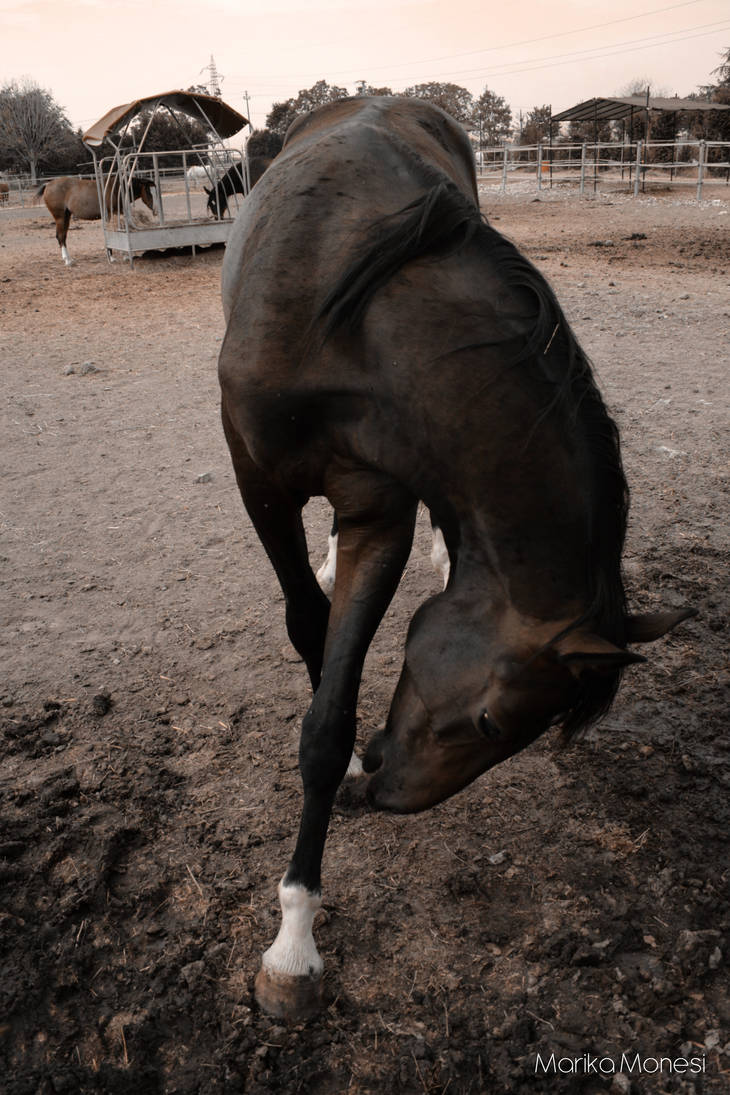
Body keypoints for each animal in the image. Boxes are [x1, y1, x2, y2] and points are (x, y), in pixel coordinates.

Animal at [218, 94, 696, 1016]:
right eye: (491, 722)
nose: (391, 794)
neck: (351, 316)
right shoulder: (259, 483)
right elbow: (310, 638)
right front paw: (292, 942)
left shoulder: (380, 510)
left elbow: (329, 719)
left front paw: (297, 932)